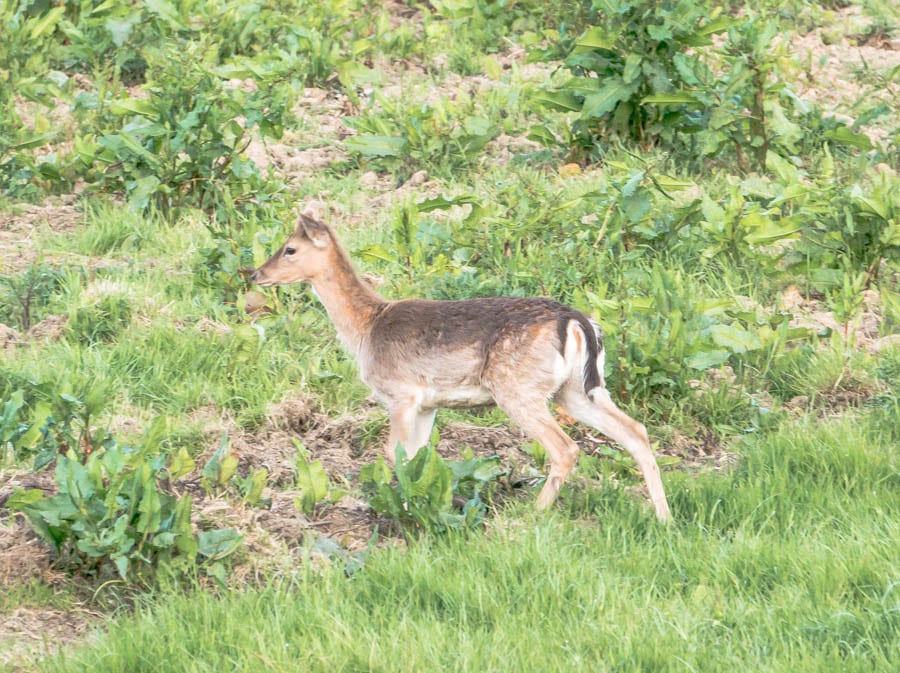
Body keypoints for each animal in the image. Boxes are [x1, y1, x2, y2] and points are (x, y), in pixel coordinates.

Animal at [250, 211, 672, 520]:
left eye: (289, 249)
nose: (255, 273)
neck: (366, 330)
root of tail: (577, 321)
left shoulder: (400, 394)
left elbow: (394, 453)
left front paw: (403, 512)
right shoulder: (428, 404)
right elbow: (417, 457)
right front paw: (415, 505)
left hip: (517, 388)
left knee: (566, 448)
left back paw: (531, 516)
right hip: (577, 389)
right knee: (635, 431)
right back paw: (663, 516)